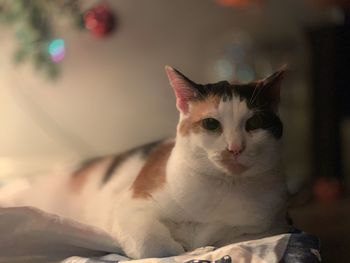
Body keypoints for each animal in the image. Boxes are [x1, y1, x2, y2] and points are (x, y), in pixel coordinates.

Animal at [0, 66, 290, 260]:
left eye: (254, 123)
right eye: (211, 124)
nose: (235, 148)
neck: (225, 189)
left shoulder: (264, 226)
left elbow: (237, 237)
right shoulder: (131, 206)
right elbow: (155, 245)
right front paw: (186, 249)